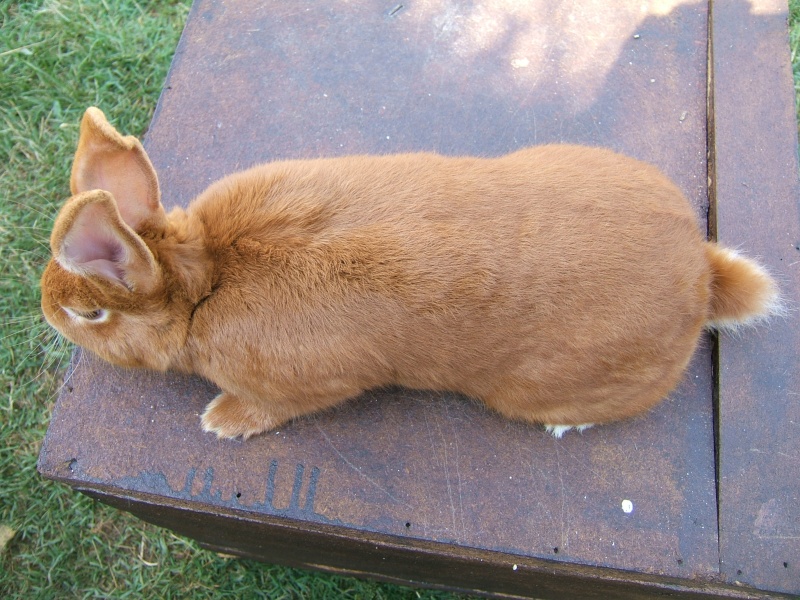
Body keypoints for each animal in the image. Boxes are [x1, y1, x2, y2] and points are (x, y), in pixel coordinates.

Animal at [39, 108, 780, 438]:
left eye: (88, 313)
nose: (44, 310)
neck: (209, 278)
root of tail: (698, 274)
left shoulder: (306, 386)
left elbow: (272, 408)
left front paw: (220, 421)